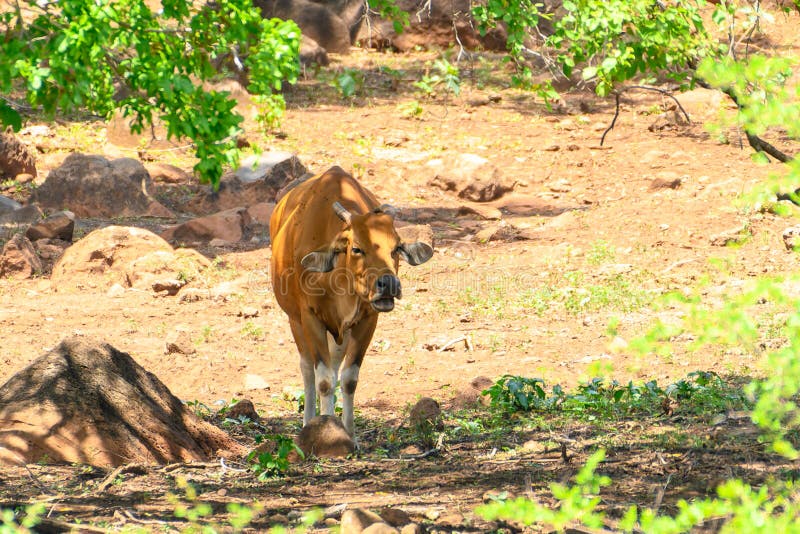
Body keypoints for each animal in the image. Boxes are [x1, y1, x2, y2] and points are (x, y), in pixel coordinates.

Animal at [268, 168, 432, 440]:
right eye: (357, 248)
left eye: (396, 247)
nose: (388, 284)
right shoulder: (310, 317)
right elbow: (322, 380)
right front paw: (326, 432)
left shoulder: (367, 319)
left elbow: (348, 379)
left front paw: (349, 434)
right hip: (294, 319)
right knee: (307, 369)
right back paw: (308, 421)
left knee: (335, 369)